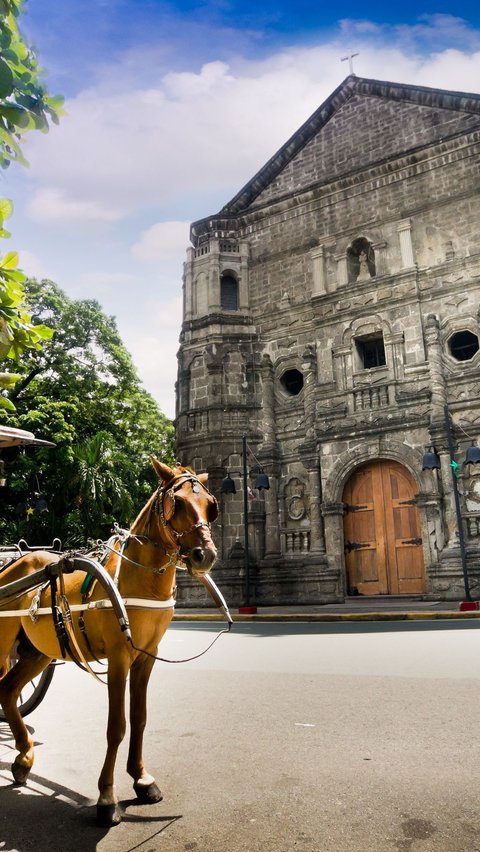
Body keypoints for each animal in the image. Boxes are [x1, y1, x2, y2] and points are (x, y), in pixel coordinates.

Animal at [0, 460, 218, 824]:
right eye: (178, 503)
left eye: (210, 505)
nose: (206, 555)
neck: (140, 578)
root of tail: (14, 562)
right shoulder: (119, 656)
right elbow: (117, 725)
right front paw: (106, 796)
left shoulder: (147, 656)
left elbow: (139, 717)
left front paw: (142, 779)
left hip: (37, 652)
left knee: (8, 689)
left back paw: (23, 758)